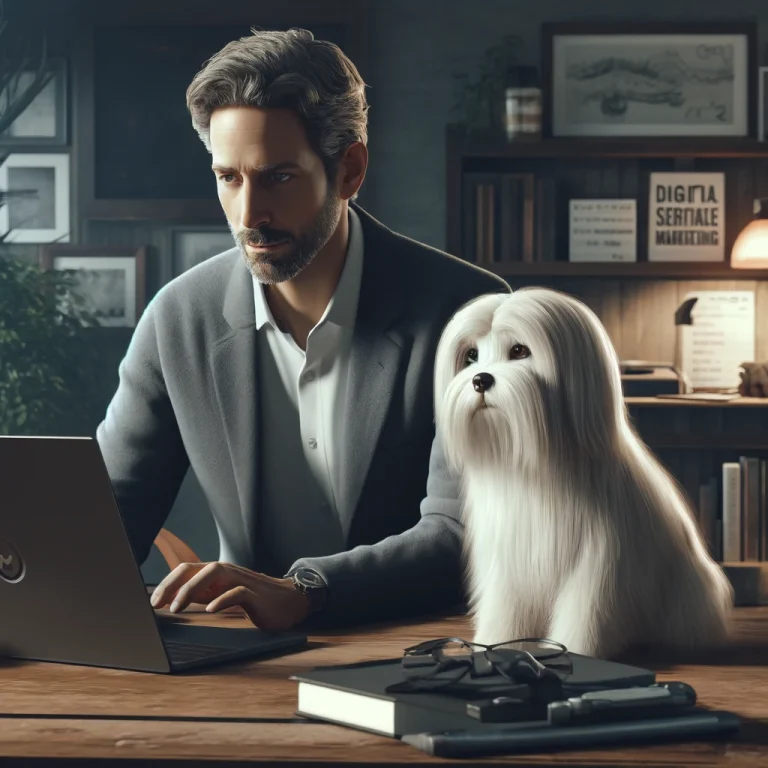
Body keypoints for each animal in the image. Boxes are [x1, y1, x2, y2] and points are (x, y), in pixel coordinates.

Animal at [436, 284, 736, 656]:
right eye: (471, 356)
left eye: (519, 350)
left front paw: (578, 649)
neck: (535, 468)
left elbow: (586, 607)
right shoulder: (509, 559)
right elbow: (507, 603)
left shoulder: (599, 557)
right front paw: (498, 641)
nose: (479, 380)